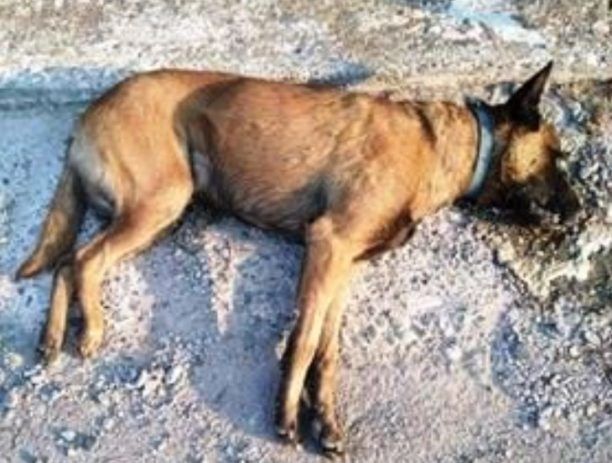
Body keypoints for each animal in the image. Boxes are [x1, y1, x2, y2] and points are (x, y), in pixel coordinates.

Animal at [17, 61, 579, 455]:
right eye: (556, 158)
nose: (579, 211)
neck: (441, 146)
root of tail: (88, 111)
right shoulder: (329, 244)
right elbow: (305, 341)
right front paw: (287, 418)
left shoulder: (344, 266)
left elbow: (328, 351)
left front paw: (324, 420)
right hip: (162, 200)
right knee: (85, 261)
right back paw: (90, 329)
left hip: (152, 212)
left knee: (67, 261)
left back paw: (51, 338)